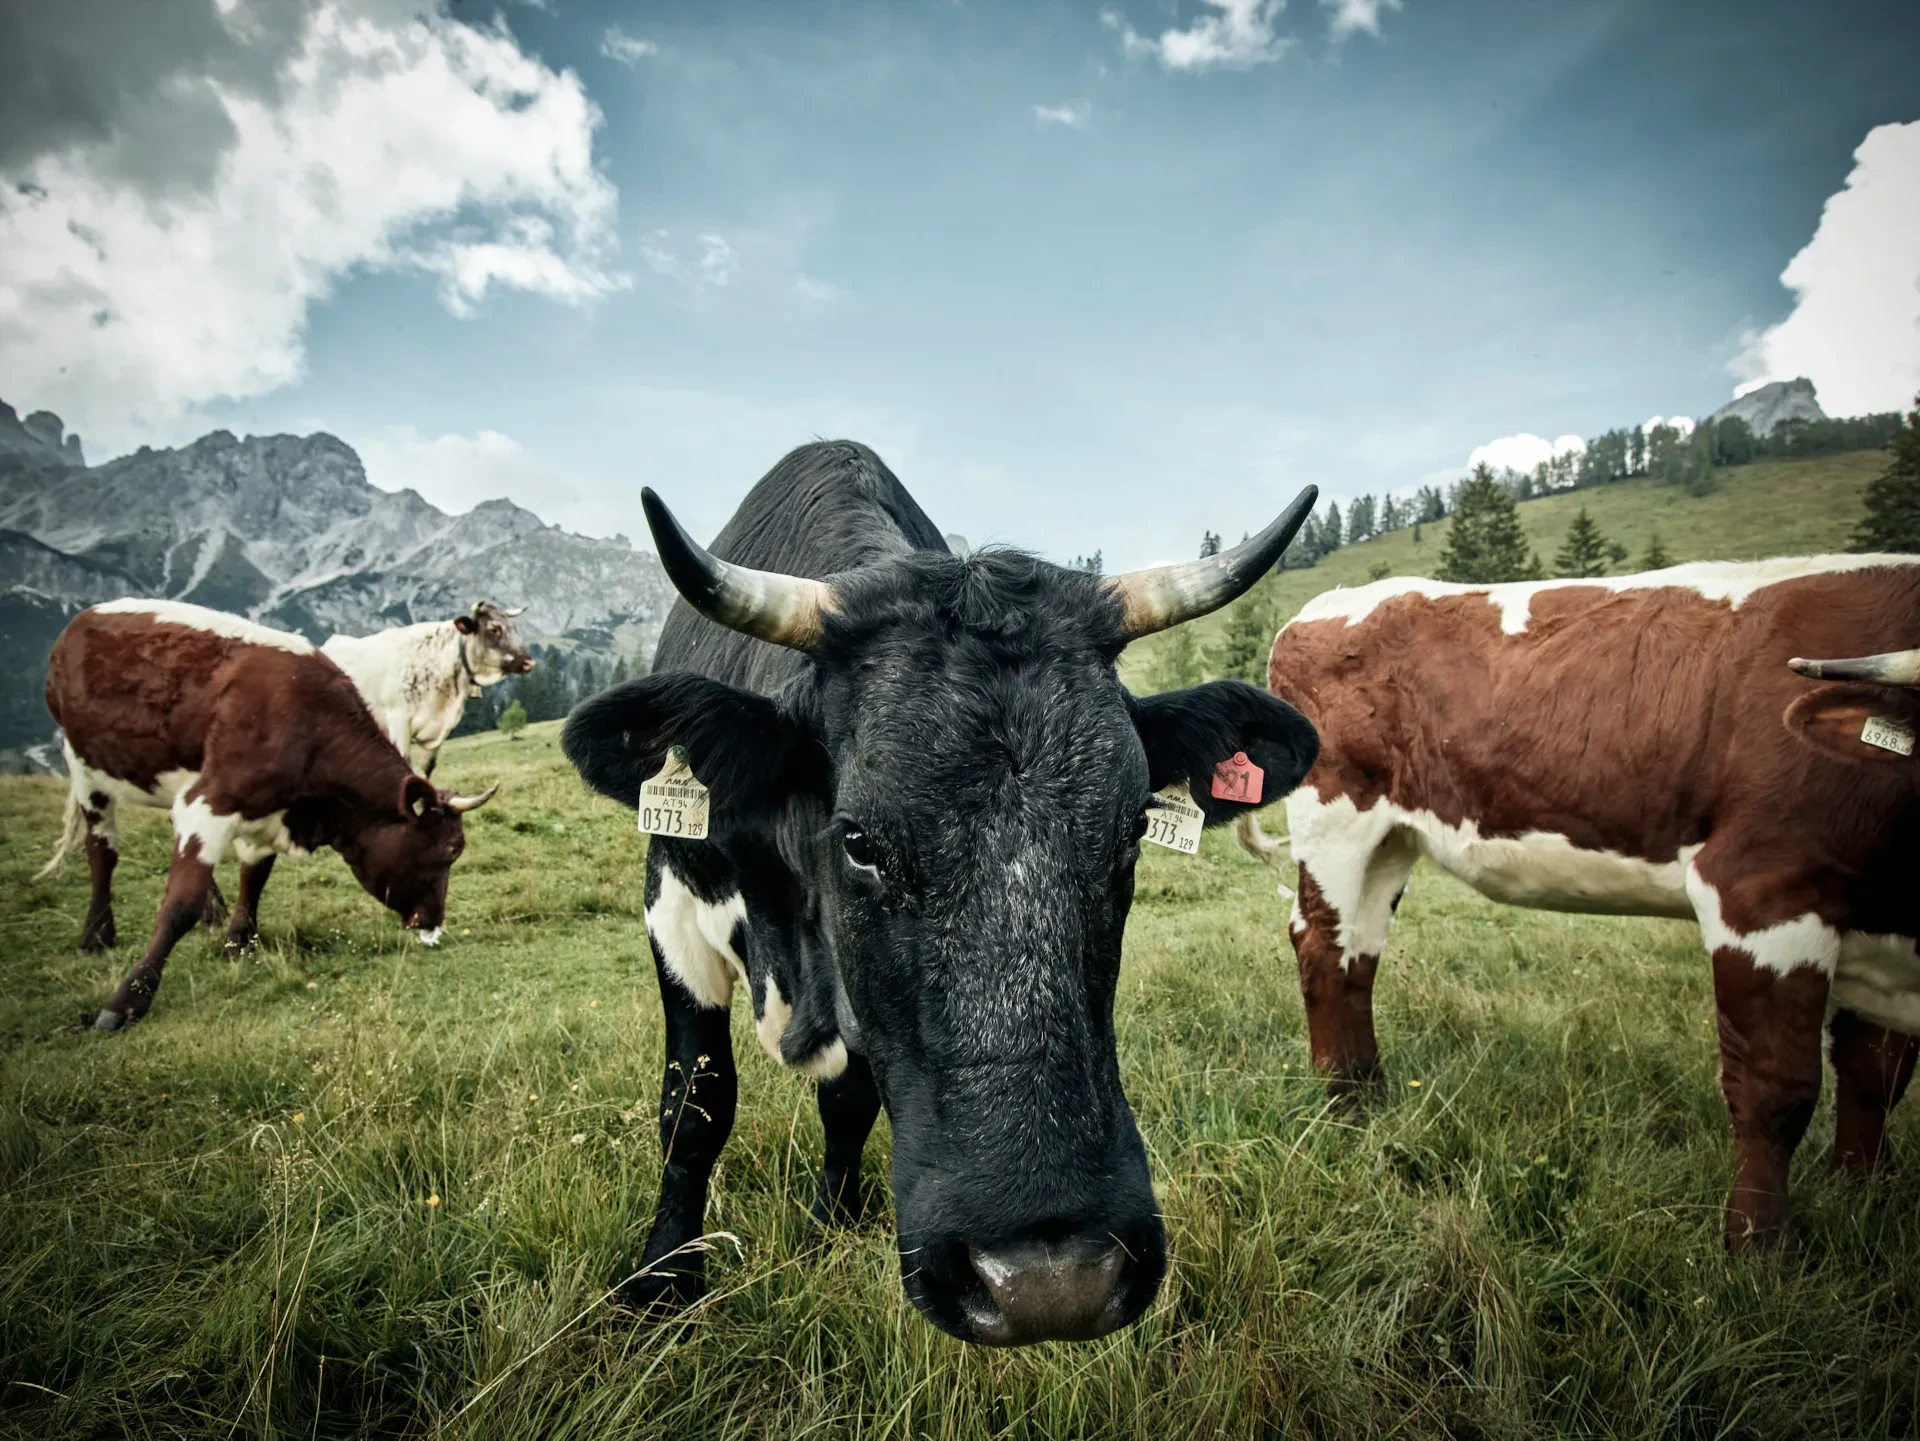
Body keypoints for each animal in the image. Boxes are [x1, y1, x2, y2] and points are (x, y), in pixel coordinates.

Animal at [38, 599, 498, 1030]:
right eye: (451, 850)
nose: (435, 920)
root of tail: (82, 620)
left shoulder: (260, 812)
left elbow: (253, 876)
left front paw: (239, 941)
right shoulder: (209, 802)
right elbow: (178, 904)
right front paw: (129, 998)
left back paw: (211, 916)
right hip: (83, 768)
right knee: (101, 850)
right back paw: (97, 935)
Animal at [322, 601, 535, 776]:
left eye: (514, 627)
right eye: (494, 629)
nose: (528, 662)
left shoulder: (439, 732)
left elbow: (426, 770)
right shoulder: (398, 721)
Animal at [561, 441, 1319, 1345]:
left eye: (1134, 825)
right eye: (858, 839)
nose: (1052, 1283)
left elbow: (848, 1098)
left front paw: (829, 1221)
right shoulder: (673, 913)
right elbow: (696, 1103)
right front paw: (664, 1278)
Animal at [1236, 557, 1920, 1250]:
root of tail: (1328, 606)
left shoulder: (1888, 942)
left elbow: (1876, 1073)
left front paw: (1861, 1191)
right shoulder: (1760, 893)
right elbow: (1776, 1089)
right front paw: (1759, 1248)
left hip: (1391, 840)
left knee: (1359, 953)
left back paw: (1369, 1096)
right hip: (1336, 819)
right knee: (1322, 946)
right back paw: (1342, 1106)